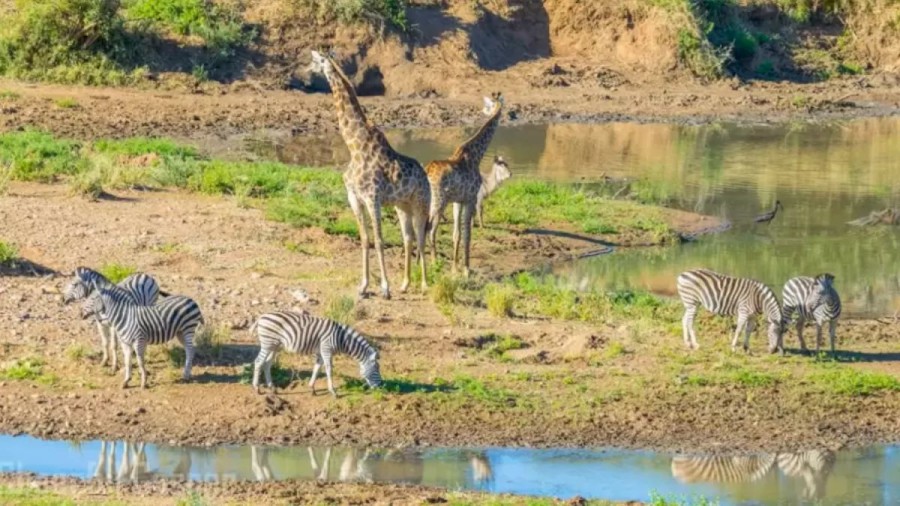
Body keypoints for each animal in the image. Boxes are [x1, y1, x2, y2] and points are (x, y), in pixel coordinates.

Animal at [250, 310, 384, 398]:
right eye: (376, 369)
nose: (380, 386)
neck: (341, 338)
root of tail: (261, 316)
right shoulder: (326, 349)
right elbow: (329, 369)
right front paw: (333, 392)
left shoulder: (321, 352)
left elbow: (317, 368)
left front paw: (312, 389)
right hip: (268, 343)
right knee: (258, 361)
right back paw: (257, 388)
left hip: (275, 346)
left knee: (267, 363)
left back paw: (272, 388)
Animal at [310, 51, 432, 296]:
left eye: (316, 61)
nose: (308, 72)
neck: (354, 147)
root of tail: (425, 176)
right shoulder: (354, 198)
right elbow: (365, 239)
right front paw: (364, 285)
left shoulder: (372, 197)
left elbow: (378, 239)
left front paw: (385, 287)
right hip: (402, 206)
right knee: (408, 238)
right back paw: (405, 284)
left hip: (421, 204)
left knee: (420, 237)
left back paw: (424, 284)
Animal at [426, 91, 502, 276]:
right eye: (489, 105)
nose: (484, 111)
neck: (475, 155)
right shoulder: (471, 198)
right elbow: (467, 234)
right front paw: (467, 269)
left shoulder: (458, 201)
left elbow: (457, 234)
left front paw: (455, 268)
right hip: (438, 202)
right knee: (429, 229)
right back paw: (433, 263)